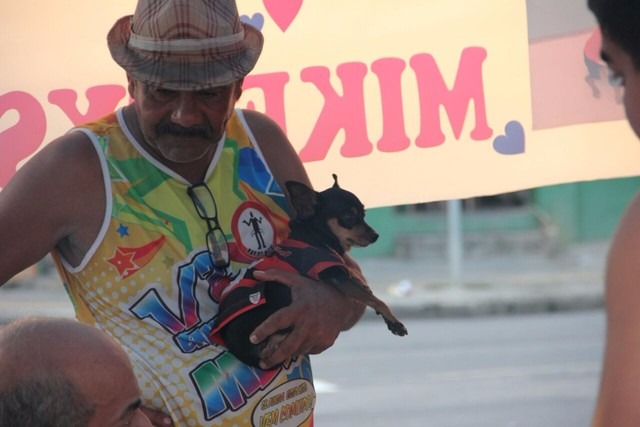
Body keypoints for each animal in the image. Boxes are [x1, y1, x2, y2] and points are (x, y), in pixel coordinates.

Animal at [210, 175, 410, 368]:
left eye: (364, 214)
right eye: (348, 217)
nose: (375, 235)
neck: (317, 237)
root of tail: (238, 349)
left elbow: (364, 289)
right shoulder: (332, 273)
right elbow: (376, 299)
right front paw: (394, 321)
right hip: (278, 295)